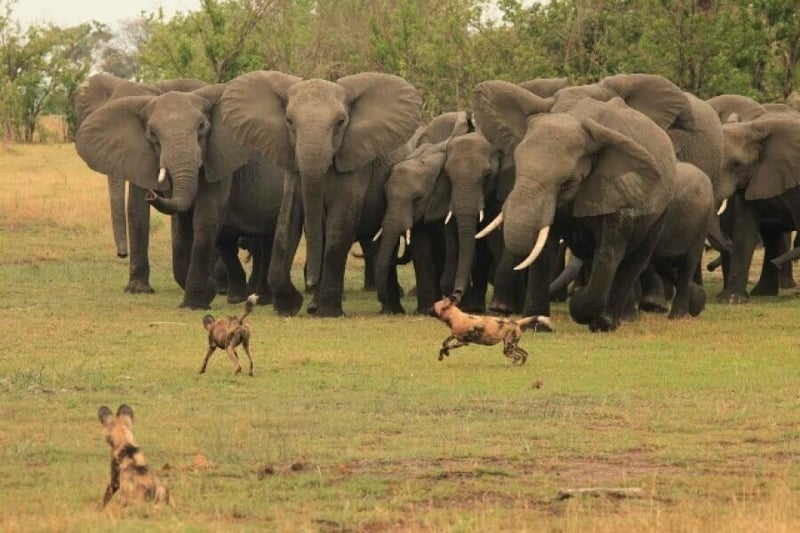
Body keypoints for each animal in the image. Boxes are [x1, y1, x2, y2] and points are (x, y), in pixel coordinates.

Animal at [219, 71, 422, 317]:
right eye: (289, 122)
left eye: (340, 123)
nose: (311, 282)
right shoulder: (292, 166)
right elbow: (286, 224)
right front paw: (288, 307)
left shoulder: (355, 163)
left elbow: (338, 228)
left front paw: (328, 313)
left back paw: (389, 310)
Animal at [473, 83, 678, 332]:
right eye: (517, 166)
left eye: (567, 182)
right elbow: (544, 251)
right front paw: (537, 325)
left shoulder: (617, 189)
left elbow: (608, 253)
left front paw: (583, 309)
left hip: (662, 210)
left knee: (635, 260)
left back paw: (609, 322)